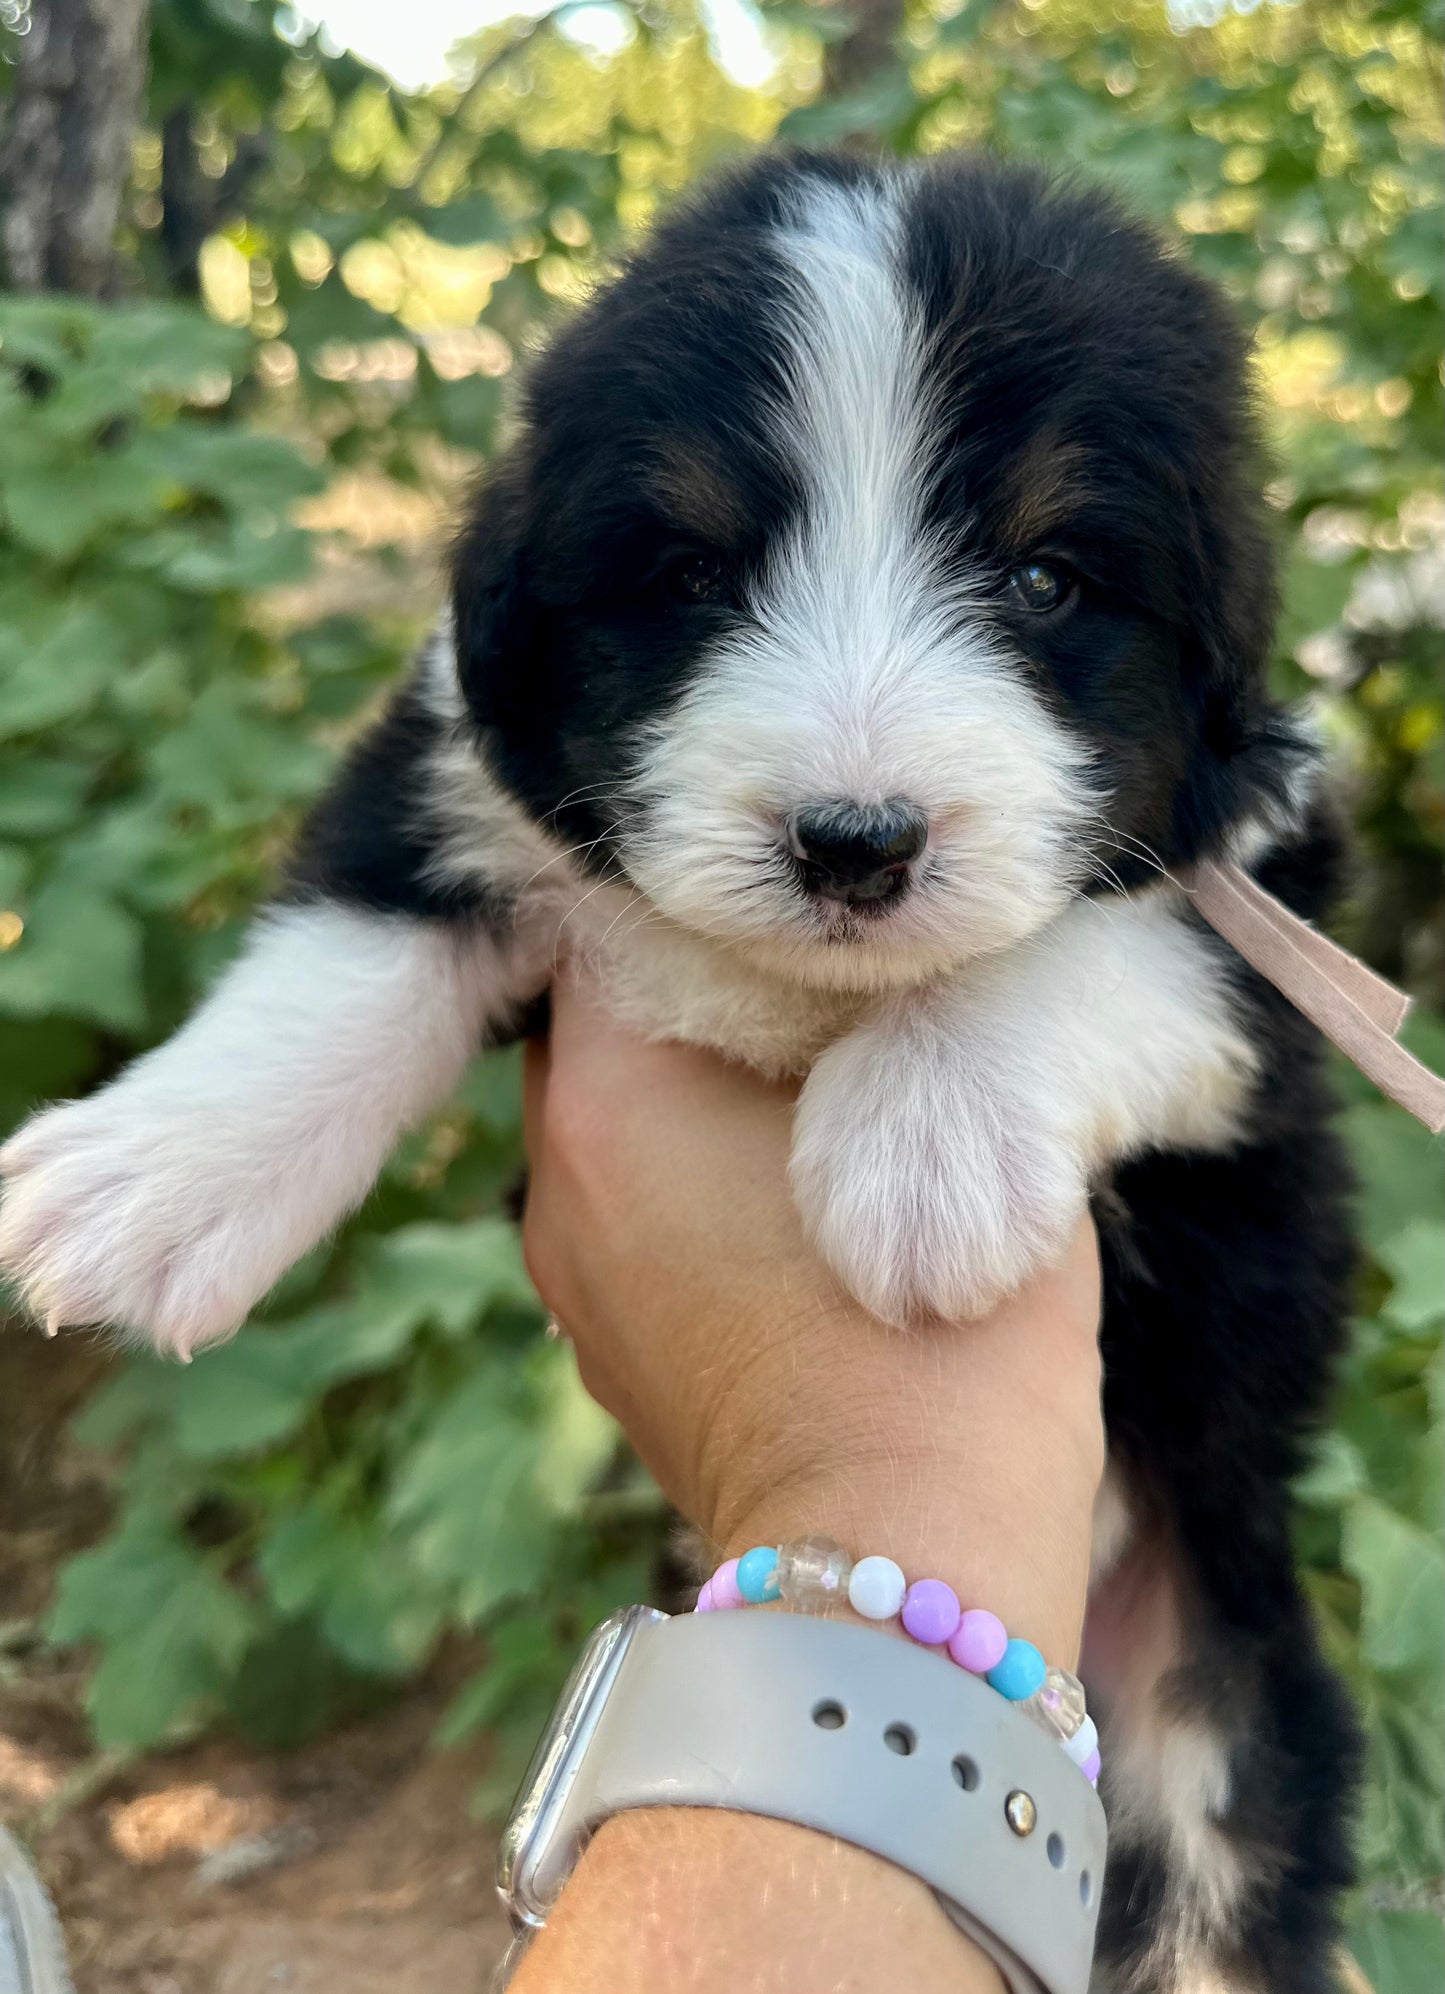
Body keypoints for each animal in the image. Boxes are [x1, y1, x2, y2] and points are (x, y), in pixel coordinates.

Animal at [0, 151, 1355, 1978]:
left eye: (1046, 581)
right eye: (695, 575)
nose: (853, 841)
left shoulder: (1265, 922)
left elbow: (1111, 941)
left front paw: (922, 1138)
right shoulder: (465, 765)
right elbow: (350, 944)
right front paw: (146, 1178)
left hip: (1223, 1698)